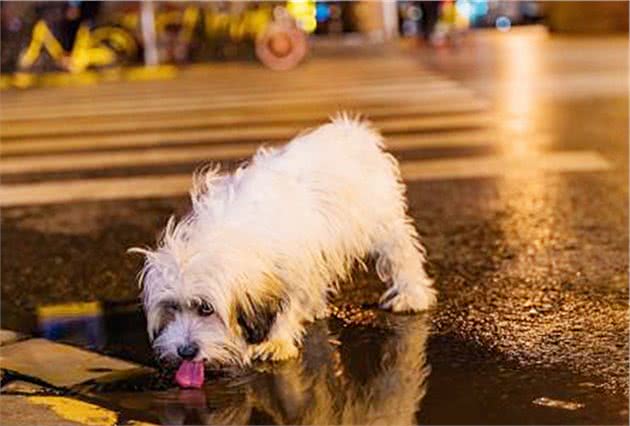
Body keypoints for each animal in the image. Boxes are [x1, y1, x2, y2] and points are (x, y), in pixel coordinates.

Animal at [131, 115, 436, 388]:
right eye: (172, 307)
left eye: (206, 308)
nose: (185, 351)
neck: (230, 236)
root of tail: (350, 129)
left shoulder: (292, 268)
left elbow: (288, 303)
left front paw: (276, 341)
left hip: (380, 222)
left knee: (401, 252)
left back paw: (411, 294)